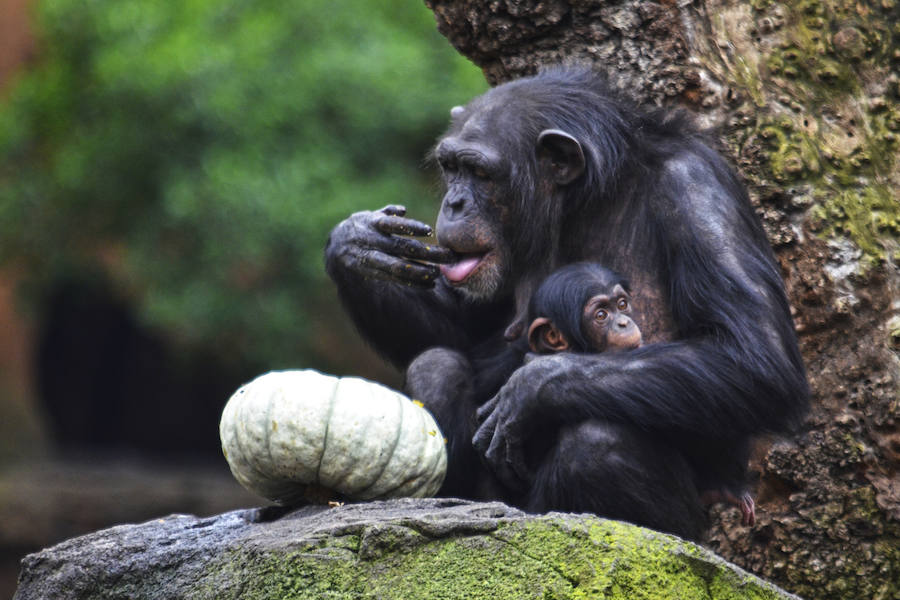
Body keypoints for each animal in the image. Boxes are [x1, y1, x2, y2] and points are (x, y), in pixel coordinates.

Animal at [326, 65, 808, 540]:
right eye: (452, 167)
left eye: (480, 173)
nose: (455, 202)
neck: (584, 198)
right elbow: (460, 331)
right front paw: (358, 245)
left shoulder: (698, 190)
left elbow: (755, 357)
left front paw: (533, 387)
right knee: (437, 366)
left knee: (598, 443)